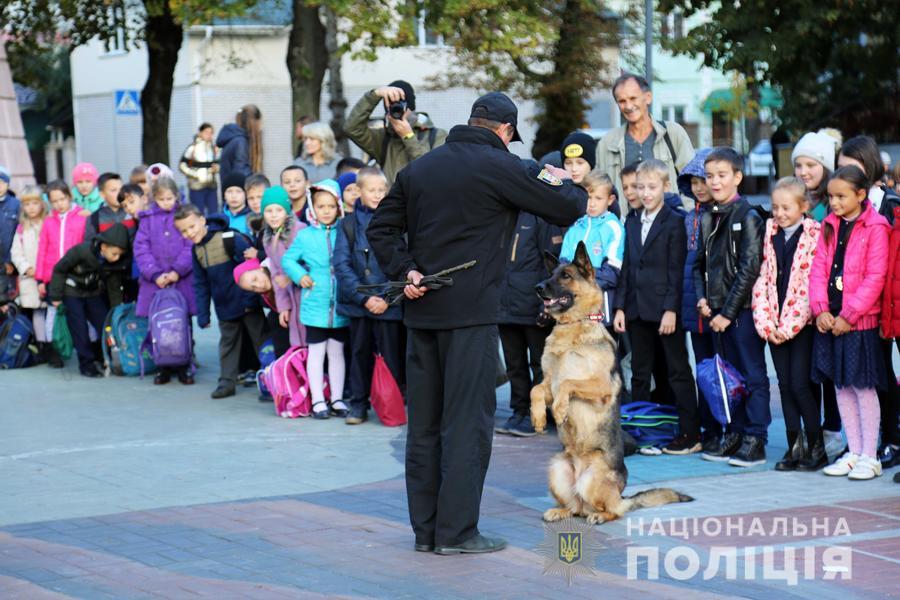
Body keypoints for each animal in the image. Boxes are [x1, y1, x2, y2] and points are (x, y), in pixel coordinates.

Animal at [532, 241, 692, 524]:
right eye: (551, 274)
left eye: (566, 276)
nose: (539, 288)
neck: (573, 326)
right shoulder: (548, 382)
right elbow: (536, 390)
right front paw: (538, 417)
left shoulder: (600, 388)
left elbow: (568, 383)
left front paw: (560, 410)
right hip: (557, 468)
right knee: (574, 506)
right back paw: (561, 510)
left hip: (592, 480)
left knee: (612, 510)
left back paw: (600, 515)